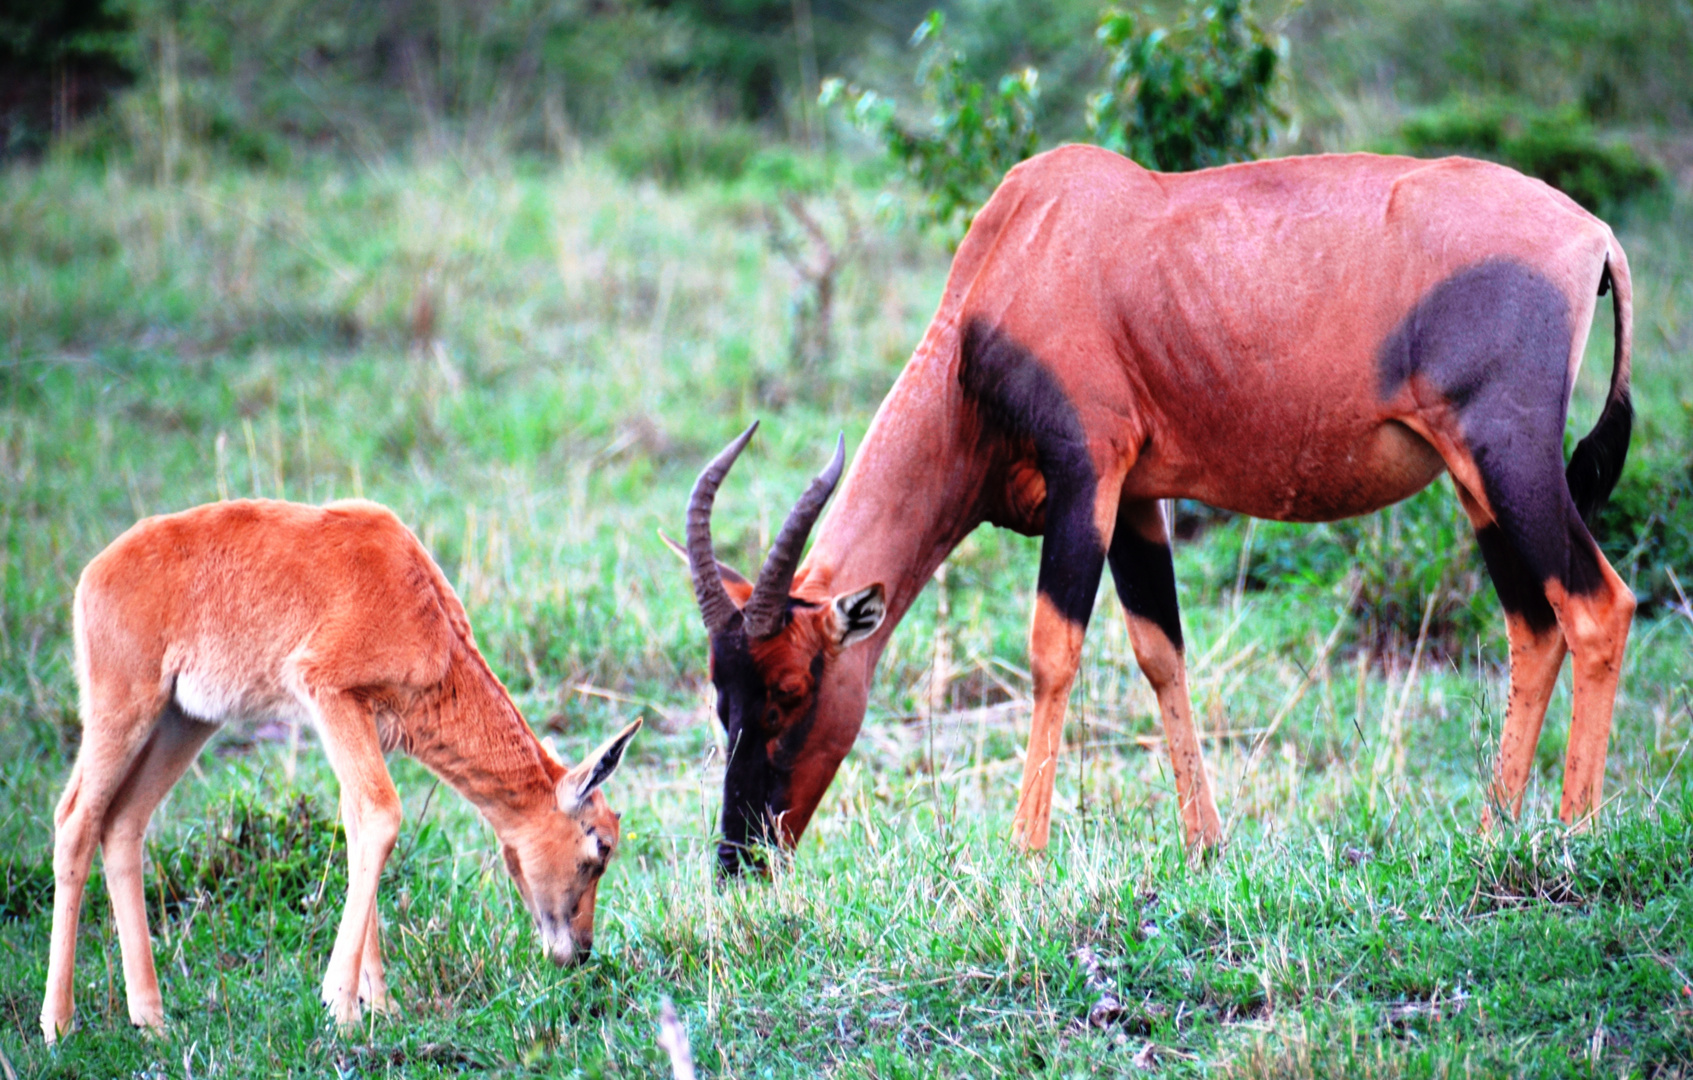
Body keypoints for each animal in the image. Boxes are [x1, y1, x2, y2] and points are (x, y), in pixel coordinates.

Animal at [46, 497, 643, 1042]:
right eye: (600, 845)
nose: (579, 951)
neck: (414, 591)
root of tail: (94, 573)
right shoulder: (329, 694)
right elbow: (381, 817)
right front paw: (343, 1007)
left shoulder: (362, 720)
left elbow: (358, 831)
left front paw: (379, 1005)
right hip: (123, 705)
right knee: (75, 820)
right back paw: (59, 1025)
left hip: (185, 720)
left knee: (123, 822)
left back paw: (152, 1019)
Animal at [680, 145, 1632, 880]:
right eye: (721, 697)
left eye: (791, 688)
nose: (740, 861)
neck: (1028, 241)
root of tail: (1594, 236)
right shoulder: (1137, 498)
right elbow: (1158, 651)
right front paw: (1205, 845)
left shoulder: (1086, 476)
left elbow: (1051, 650)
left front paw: (1023, 856)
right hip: (1474, 483)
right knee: (1530, 624)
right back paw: (1492, 831)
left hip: (1508, 458)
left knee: (1596, 605)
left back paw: (1575, 833)